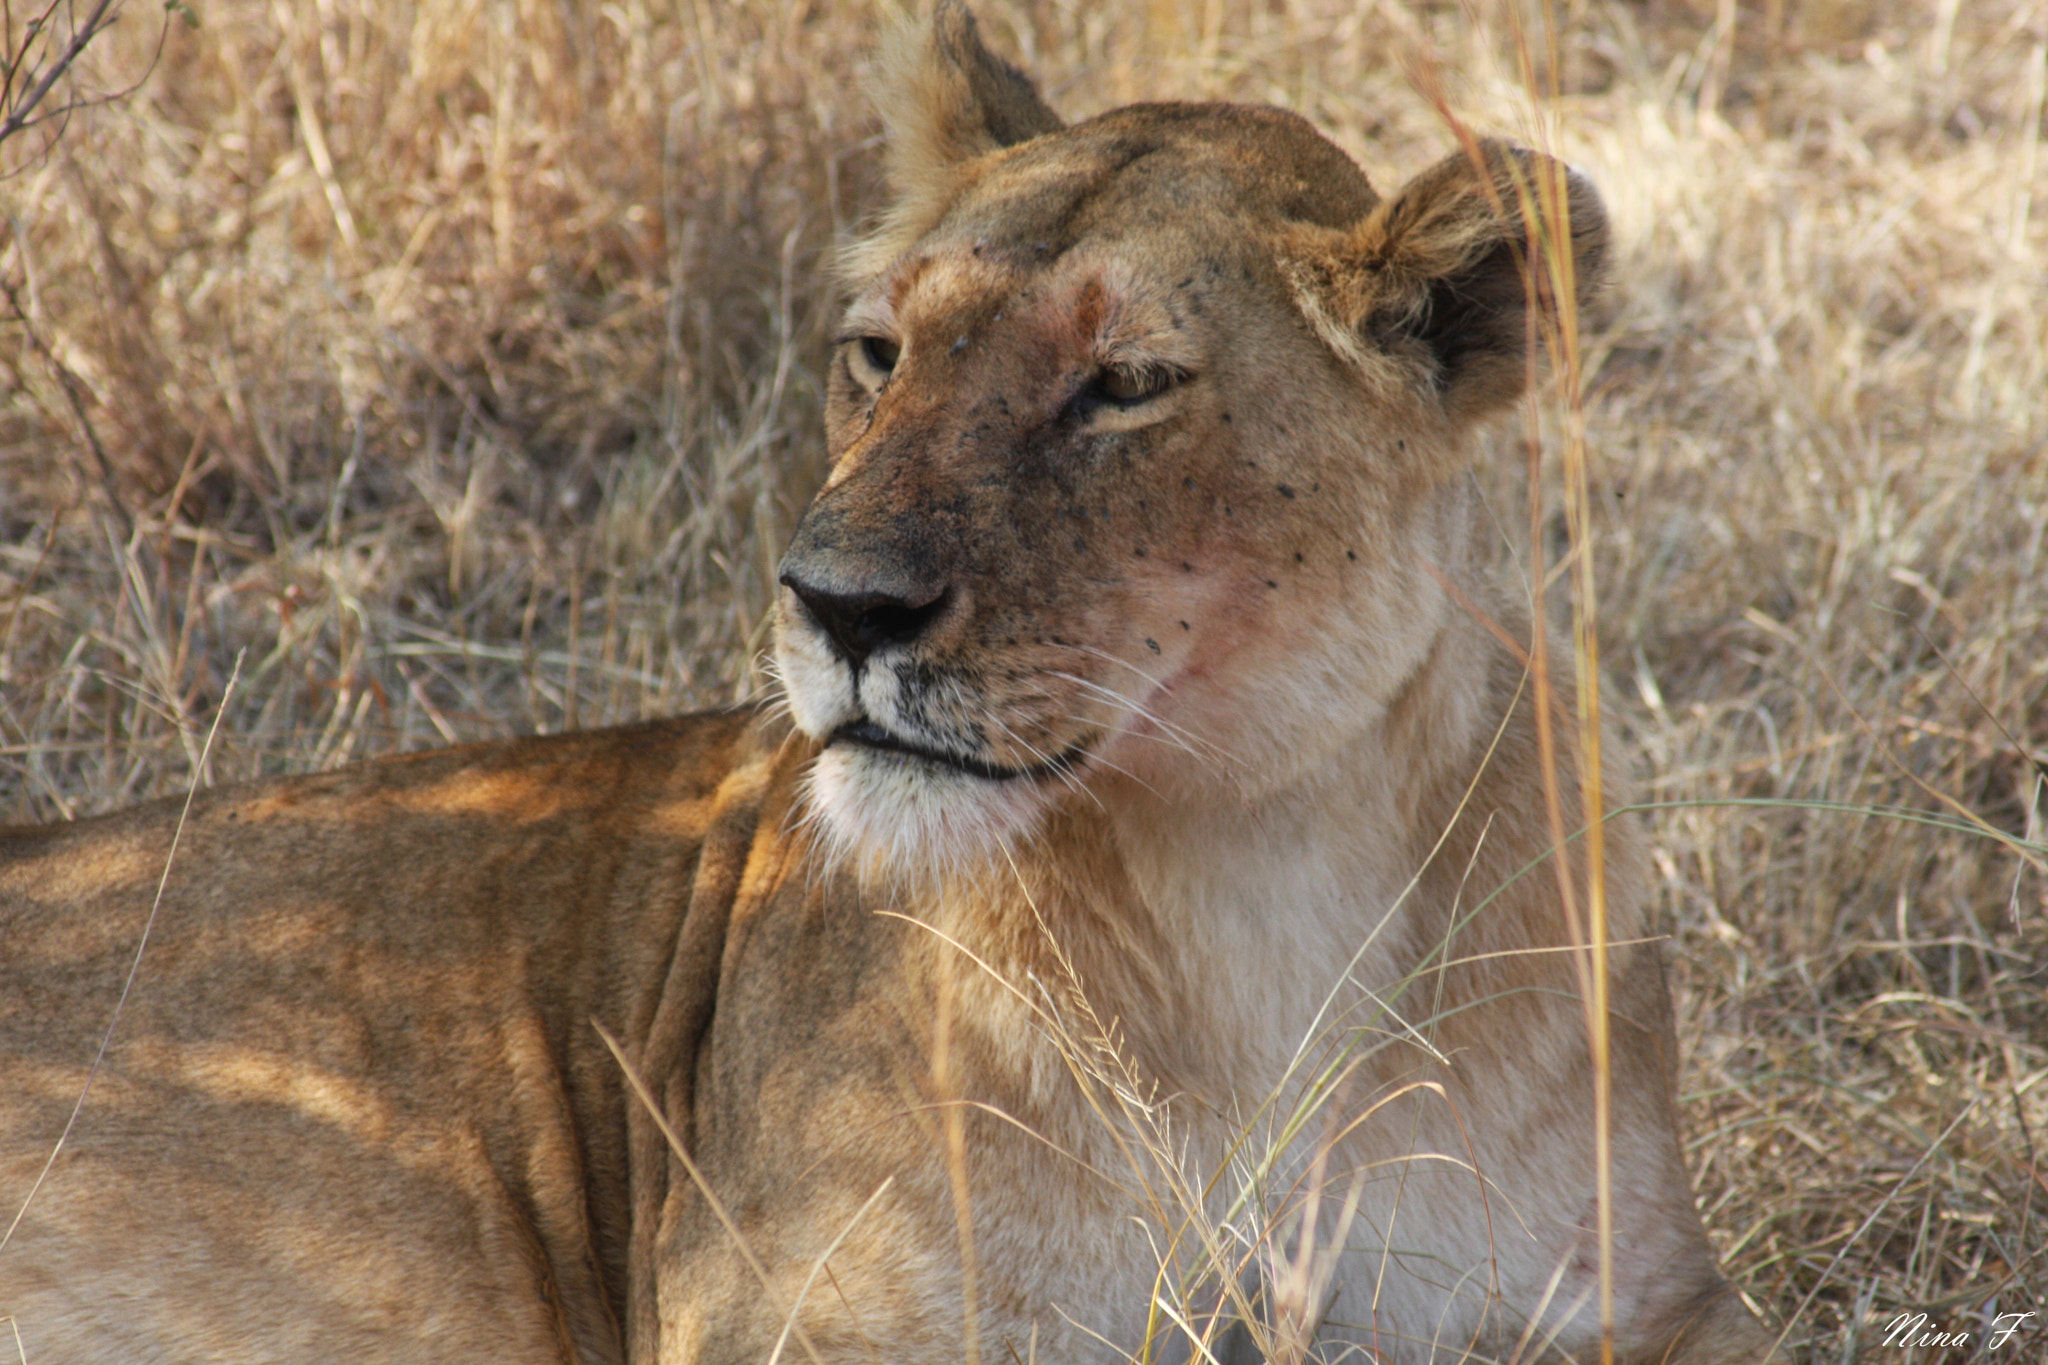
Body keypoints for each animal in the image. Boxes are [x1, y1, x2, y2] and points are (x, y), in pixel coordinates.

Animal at [0, 6, 1778, 1362]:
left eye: (1122, 386)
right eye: (880, 352)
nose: (840, 606)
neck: (1258, 875)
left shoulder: (1645, 1302)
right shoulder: (798, 1318)